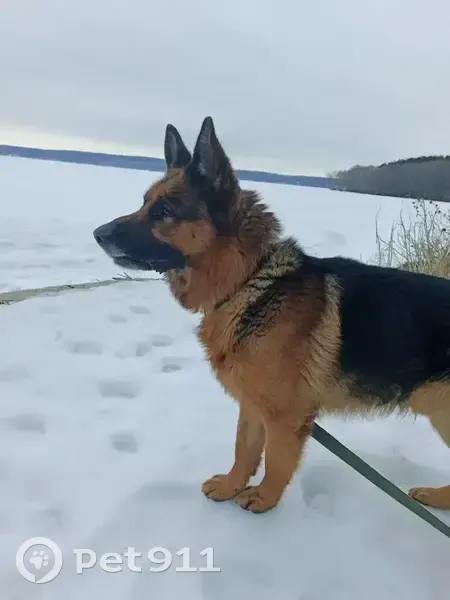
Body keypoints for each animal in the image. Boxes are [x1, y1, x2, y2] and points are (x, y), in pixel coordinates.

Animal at [94, 116, 450, 514]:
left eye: (164, 212)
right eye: (145, 204)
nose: (98, 234)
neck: (247, 280)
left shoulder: (286, 416)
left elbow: (277, 461)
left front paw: (264, 499)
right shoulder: (252, 404)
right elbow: (244, 450)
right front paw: (231, 485)